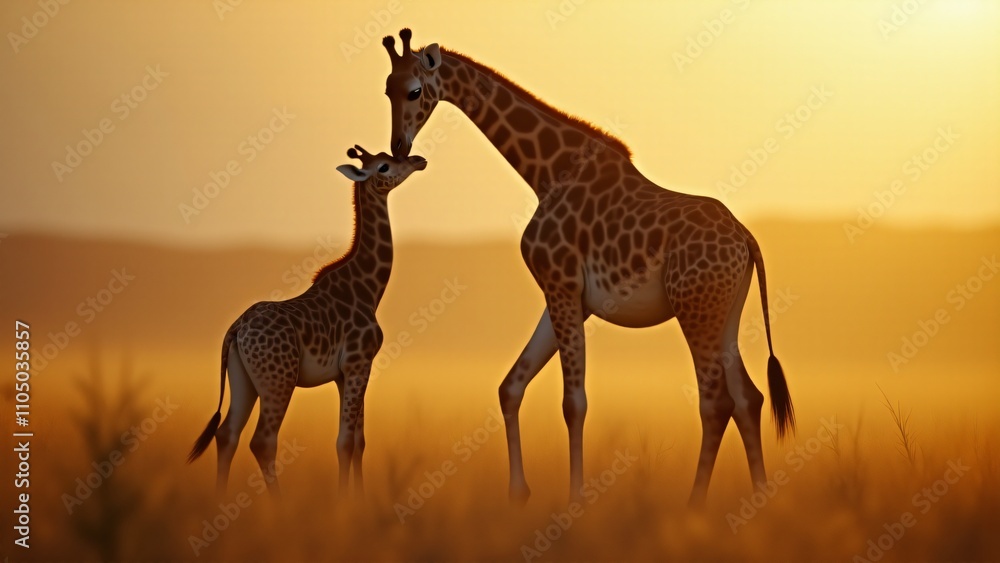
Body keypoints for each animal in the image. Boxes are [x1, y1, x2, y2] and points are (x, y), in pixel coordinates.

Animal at [187, 146, 427, 497]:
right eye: (384, 166)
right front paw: (344, 503)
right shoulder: (359, 363)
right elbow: (344, 442)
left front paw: (359, 499)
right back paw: (279, 505)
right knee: (262, 440)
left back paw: (219, 501)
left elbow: (359, 441)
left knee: (227, 433)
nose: (418, 160)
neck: (369, 289)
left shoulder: (347, 372)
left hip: (242, 378)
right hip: (279, 379)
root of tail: (237, 329)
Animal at [379, 29, 794, 506]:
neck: (546, 172)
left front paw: (576, 498)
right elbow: (511, 386)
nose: (398, 146)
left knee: (716, 400)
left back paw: (694, 504)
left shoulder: (560, 284)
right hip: (725, 314)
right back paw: (760, 497)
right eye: (386, 89)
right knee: (749, 397)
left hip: (695, 311)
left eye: (414, 91)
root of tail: (745, 237)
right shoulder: (566, 295)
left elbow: (572, 401)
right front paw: (518, 492)